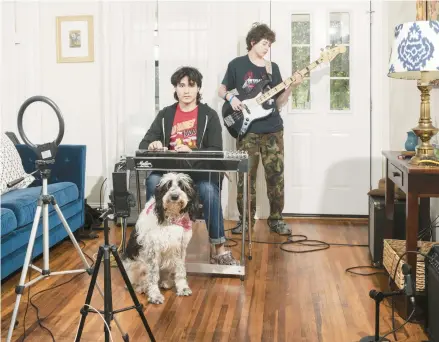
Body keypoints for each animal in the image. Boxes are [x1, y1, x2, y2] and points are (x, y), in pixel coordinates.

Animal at [122, 172, 198, 304]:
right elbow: (153, 276)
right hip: (135, 265)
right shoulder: (153, 249)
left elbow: (180, 270)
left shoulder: (180, 247)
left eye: (182, 186)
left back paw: (166, 282)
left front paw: (182, 287)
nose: (174, 196)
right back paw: (142, 287)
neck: (171, 218)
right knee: (136, 281)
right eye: (167, 186)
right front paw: (154, 295)